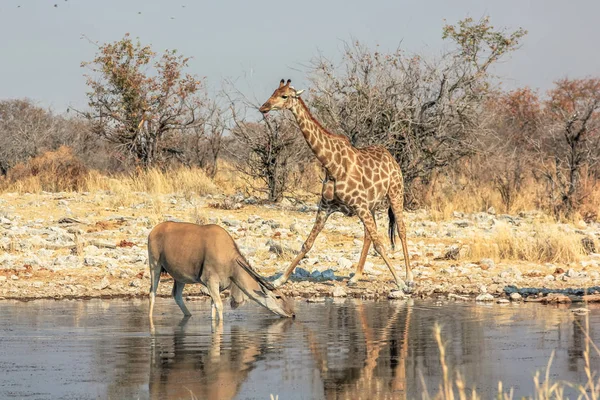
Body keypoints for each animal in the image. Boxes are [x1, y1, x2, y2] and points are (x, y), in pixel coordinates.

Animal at [258, 79, 412, 290]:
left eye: (284, 96)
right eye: (273, 92)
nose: (263, 108)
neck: (331, 165)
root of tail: (392, 158)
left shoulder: (359, 205)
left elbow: (380, 244)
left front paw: (400, 283)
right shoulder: (325, 207)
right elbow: (307, 243)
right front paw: (280, 279)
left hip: (395, 194)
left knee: (401, 230)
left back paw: (409, 276)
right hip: (371, 205)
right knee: (368, 235)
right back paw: (356, 276)